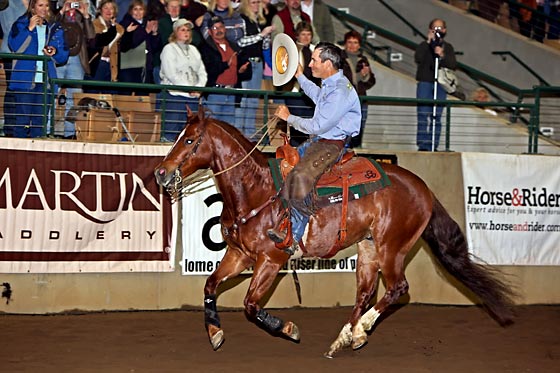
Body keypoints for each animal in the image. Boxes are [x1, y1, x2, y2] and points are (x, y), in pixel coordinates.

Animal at [152, 111, 512, 358]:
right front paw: (214, 332)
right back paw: (347, 337)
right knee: (365, 292)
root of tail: (423, 189)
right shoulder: (239, 255)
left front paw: (288, 329)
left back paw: (361, 329)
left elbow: (251, 305)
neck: (255, 191)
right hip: (368, 248)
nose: (160, 172)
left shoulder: (270, 260)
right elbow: (210, 285)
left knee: (398, 288)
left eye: (189, 140)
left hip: (392, 247)